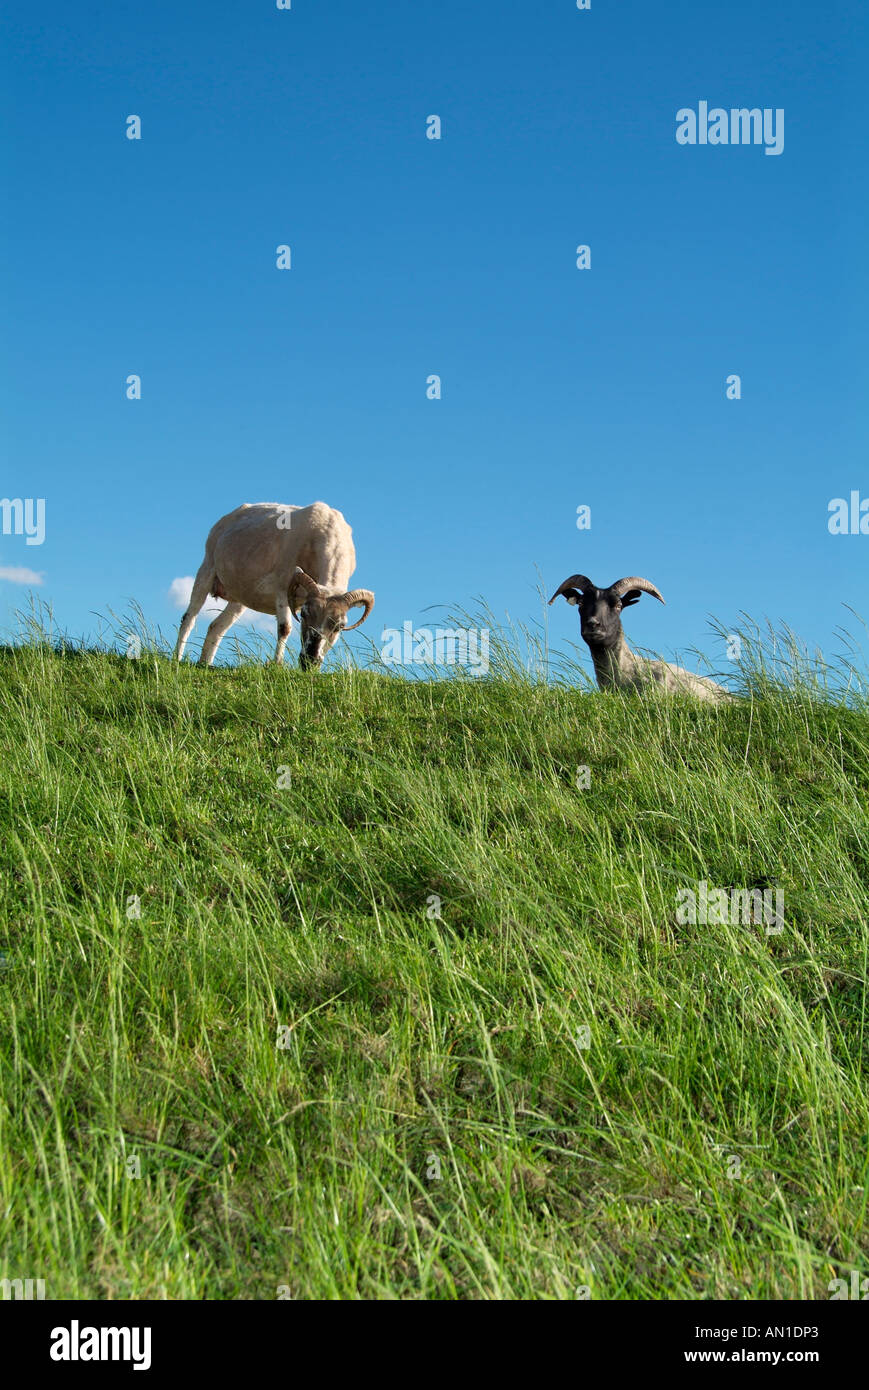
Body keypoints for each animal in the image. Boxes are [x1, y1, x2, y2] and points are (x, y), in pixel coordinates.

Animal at [175, 503, 372, 669]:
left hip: (240, 597)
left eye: (340, 625)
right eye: (304, 614)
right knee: (188, 618)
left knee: (216, 627)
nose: (309, 661)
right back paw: (177, 658)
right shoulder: (283, 588)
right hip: (207, 568)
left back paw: (204, 664)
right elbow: (285, 628)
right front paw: (277, 664)